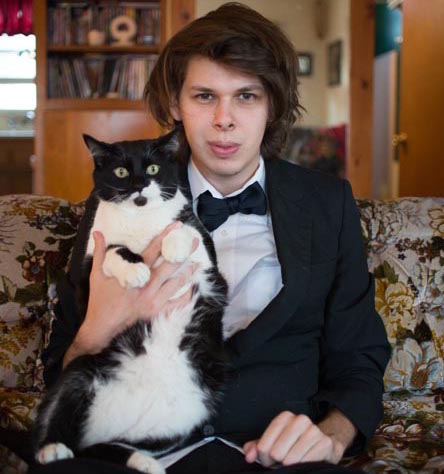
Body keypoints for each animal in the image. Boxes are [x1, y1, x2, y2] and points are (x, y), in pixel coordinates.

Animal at [34, 129, 227, 474]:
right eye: (122, 172)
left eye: (152, 168)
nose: (139, 185)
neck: (140, 220)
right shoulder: (88, 266)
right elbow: (113, 249)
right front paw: (136, 270)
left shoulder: (207, 261)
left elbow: (185, 229)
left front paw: (174, 246)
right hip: (79, 374)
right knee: (65, 426)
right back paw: (53, 448)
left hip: (181, 421)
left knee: (104, 447)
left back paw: (145, 462)